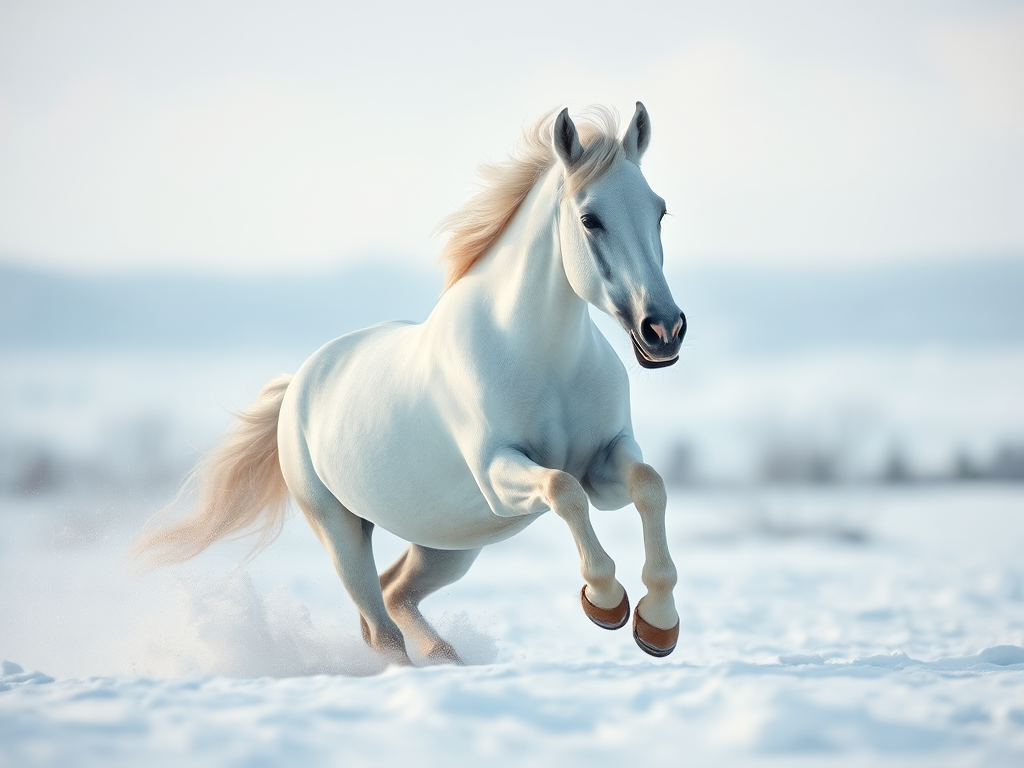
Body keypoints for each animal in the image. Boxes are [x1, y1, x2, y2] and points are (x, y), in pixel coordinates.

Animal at [135, 103, 687, 664]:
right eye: (589, 219)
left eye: (659, 212)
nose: (663, 330)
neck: (545, 361)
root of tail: (300, 383)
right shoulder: (498, 474)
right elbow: (563, 489)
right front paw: (606, 601)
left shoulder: (605, 462)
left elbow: (649, 485)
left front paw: (657, 624)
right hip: (341, 529)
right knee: (380, 626)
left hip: (449, 544)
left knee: (396, 592)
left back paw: (447, 657)